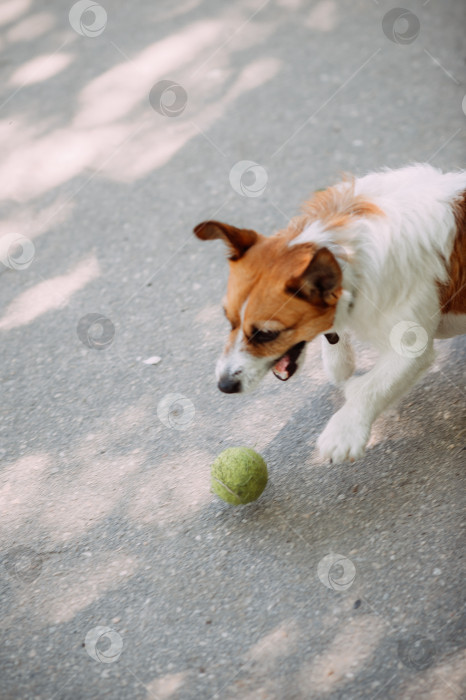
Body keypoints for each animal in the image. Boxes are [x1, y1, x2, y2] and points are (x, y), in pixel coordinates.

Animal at [193, 161, 466, 462]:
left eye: (266, 334)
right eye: (228, 319)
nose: (224, 386)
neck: (347, 251)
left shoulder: (410, 350)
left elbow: (371, 387)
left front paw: (344, 429)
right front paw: (339, 362)